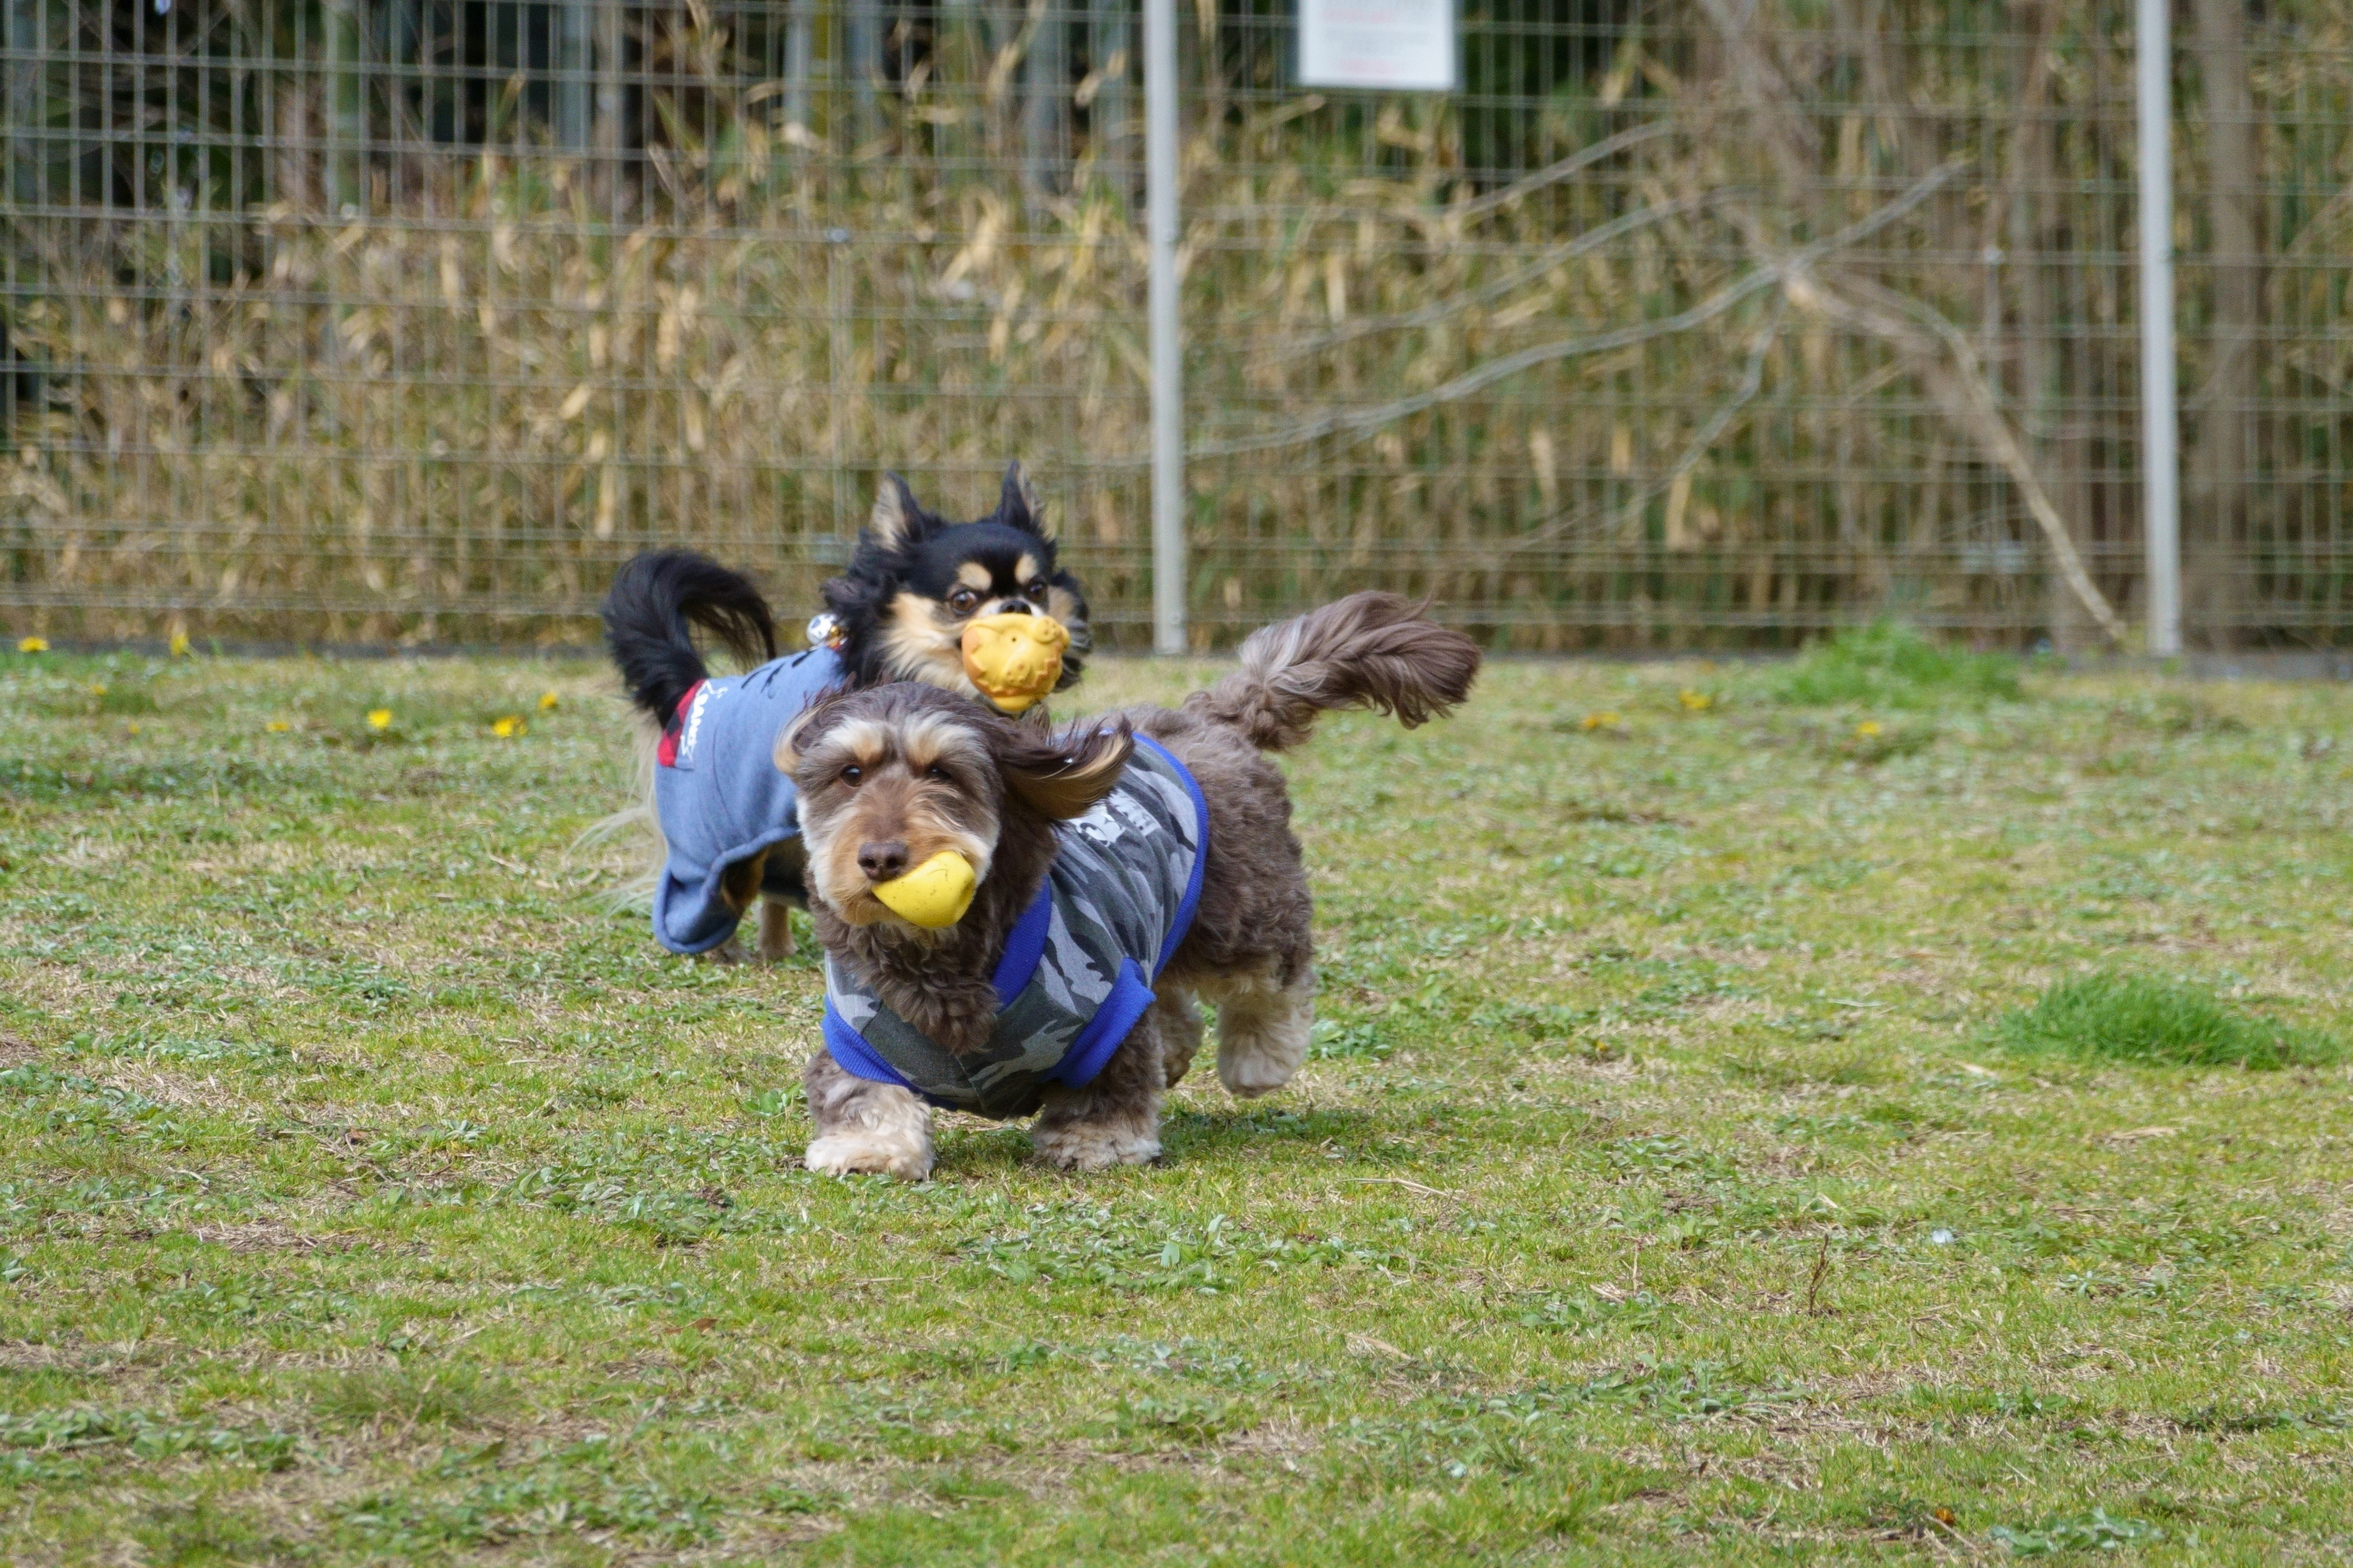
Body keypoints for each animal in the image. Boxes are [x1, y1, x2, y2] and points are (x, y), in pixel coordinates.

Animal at [781, 595, 1477, 1184]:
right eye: (849, 773)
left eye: (943, 773)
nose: (880, 857)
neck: (935, 955)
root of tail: (1207, 716)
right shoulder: (856, 1038)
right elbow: (858, 1092)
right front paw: (869, 1147)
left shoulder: (1108, 1012)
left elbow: (1109, 1088)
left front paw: (1095, 1142)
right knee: (1170, 995)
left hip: (1240, 911)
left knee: (1274, 977)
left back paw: (1259, 1058)